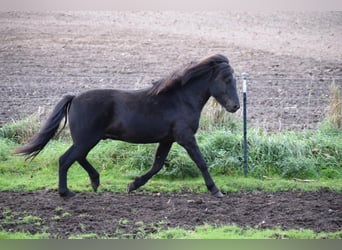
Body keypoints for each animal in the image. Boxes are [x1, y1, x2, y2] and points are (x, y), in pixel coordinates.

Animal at [14, 53, 240, 198]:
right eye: (227, 79)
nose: (236, 106)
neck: (180, 99)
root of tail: (75, 98)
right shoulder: (185, 137)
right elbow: (201, 161)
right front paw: (215, 190)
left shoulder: (168, 139)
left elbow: (157, 165)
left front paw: (133, 185)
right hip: (87, 139)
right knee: (66, 159)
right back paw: (66, 192)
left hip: (88, 140)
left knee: (78, 157)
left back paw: (95, 181)